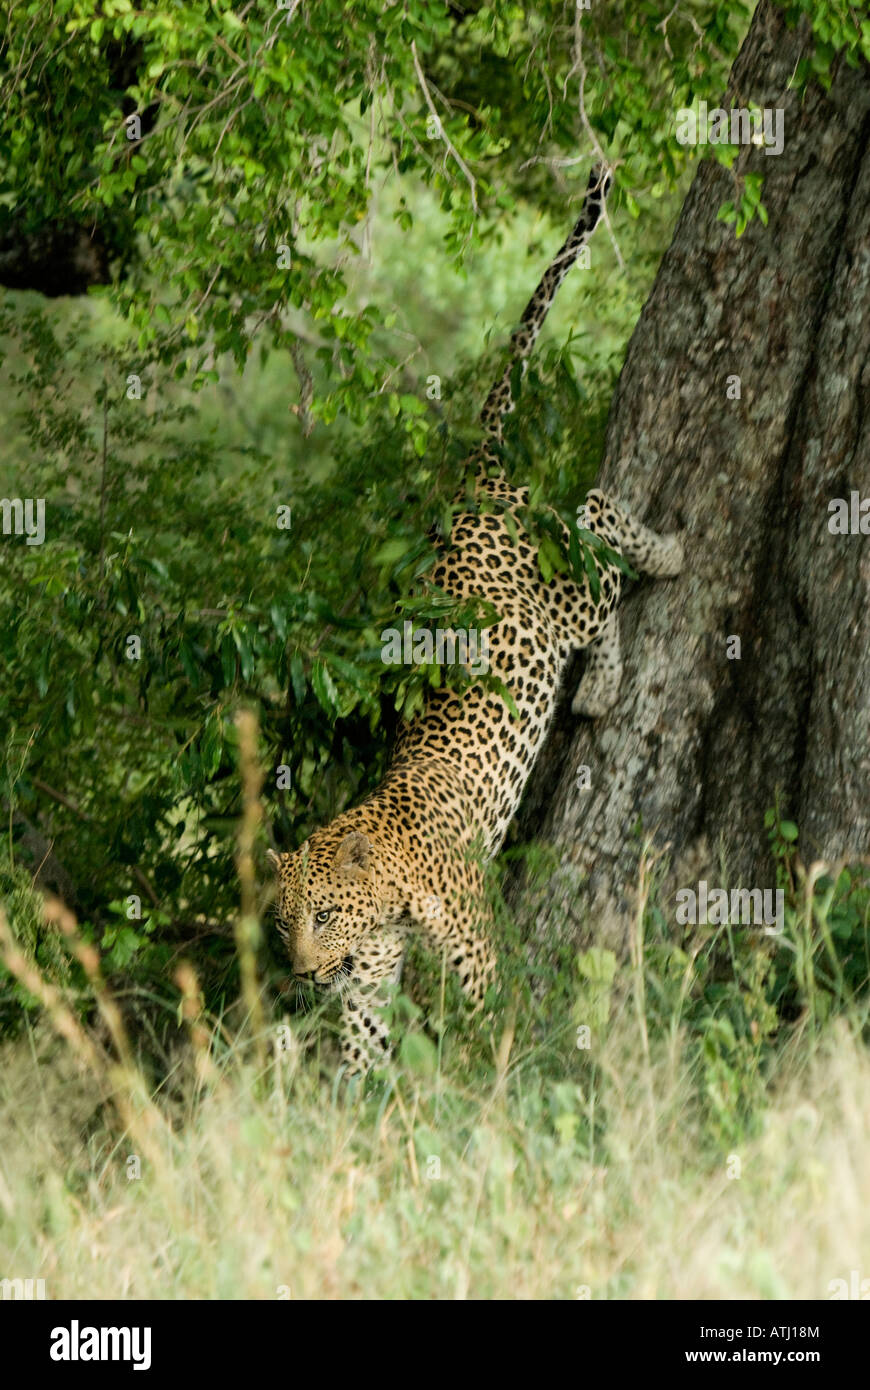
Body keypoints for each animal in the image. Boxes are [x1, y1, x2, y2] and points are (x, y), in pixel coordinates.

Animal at [268, 165, 680, 1073]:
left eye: (325, 914)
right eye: (283, 923)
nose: (303, 973)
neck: (388, 891)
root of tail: (474, 481)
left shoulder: (475, 949)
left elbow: (493, 1033)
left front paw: (495, 1087)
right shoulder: (369, 988)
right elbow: (362, 1058)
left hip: (561, 591)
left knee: (599, 529)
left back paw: (660, 568)